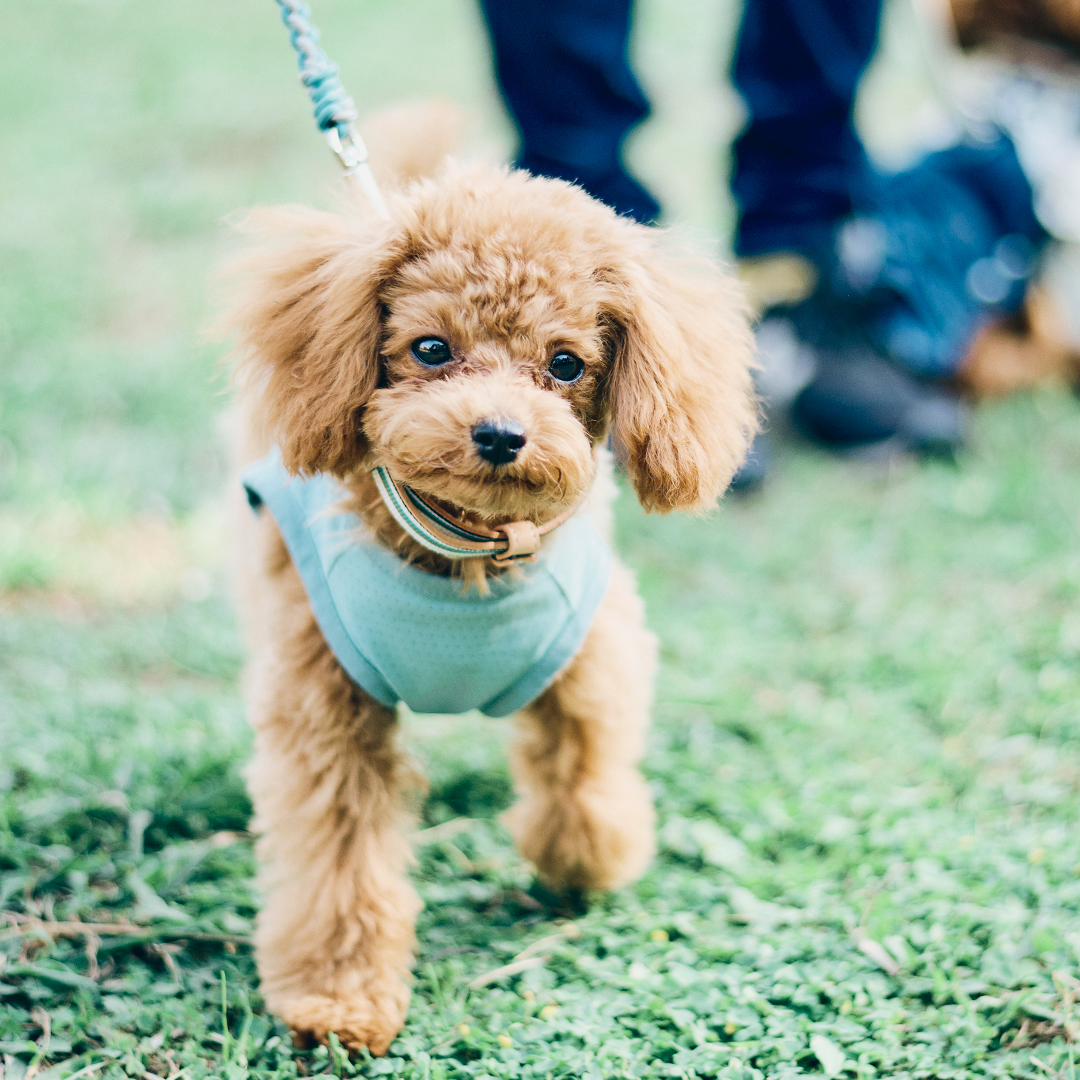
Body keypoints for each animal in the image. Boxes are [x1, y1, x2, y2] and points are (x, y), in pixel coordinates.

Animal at [224, 141, 756, 1045]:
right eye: (432, 349)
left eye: (567, 364)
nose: (501, 434)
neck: (464, 551)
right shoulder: (329, 720)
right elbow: (339, 863)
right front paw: (337, 998)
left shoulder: (589, 663)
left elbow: (582, 775)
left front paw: (585, 864)